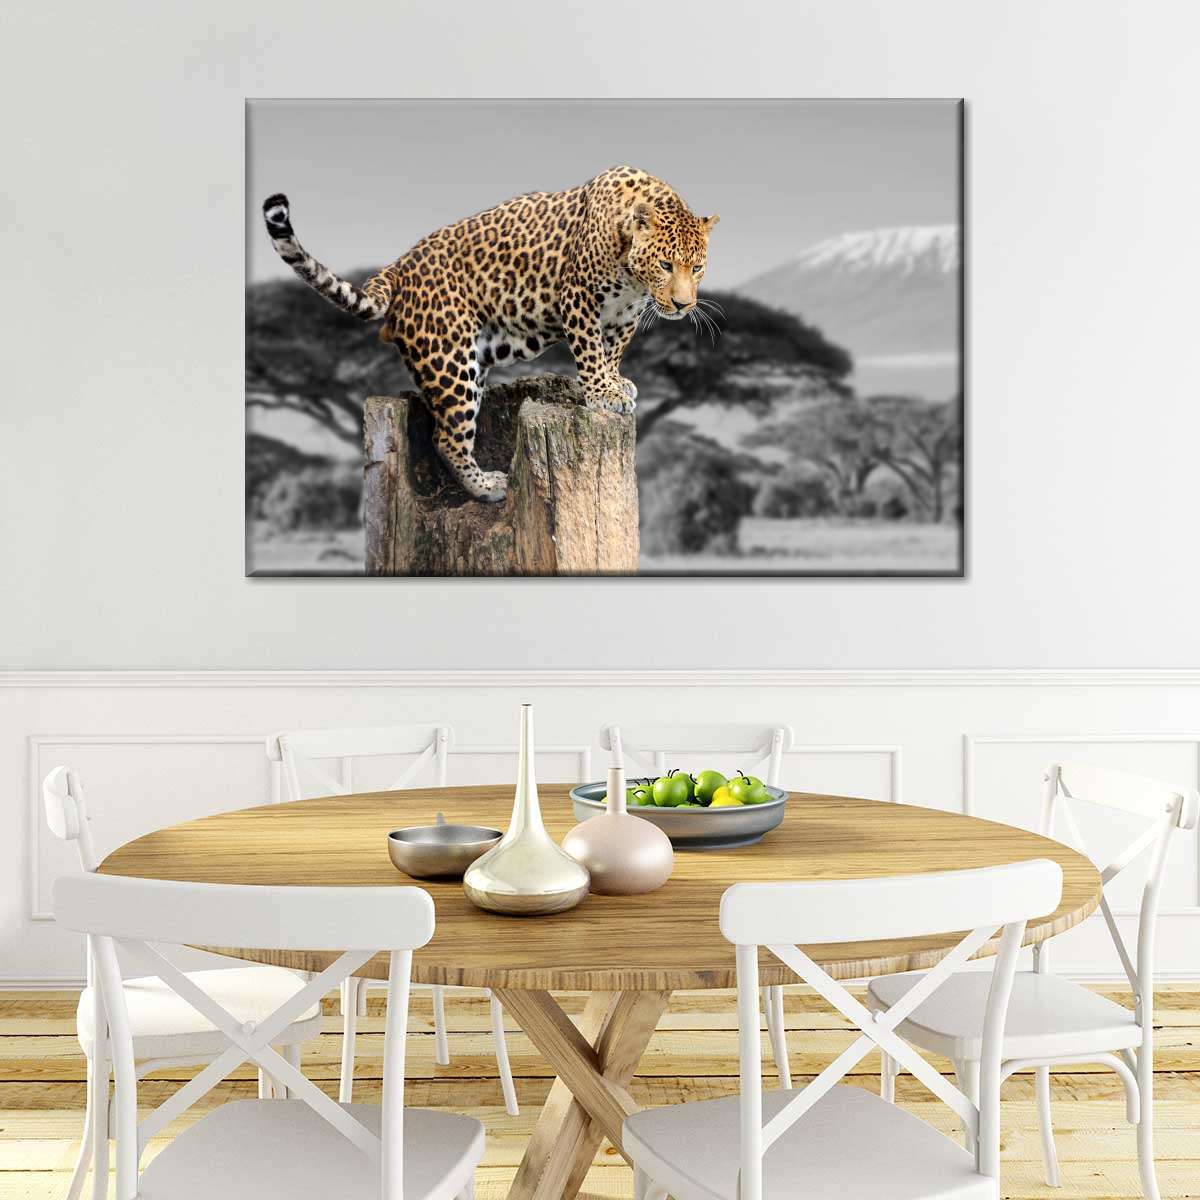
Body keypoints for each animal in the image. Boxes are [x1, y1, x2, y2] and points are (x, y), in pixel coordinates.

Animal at [261, 166, 718, 501]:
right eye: (666, 265)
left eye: (696, 267)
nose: (683, 305)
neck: (633, 276)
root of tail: (398, 267)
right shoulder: (578, 299)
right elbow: (590, 350)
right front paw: (603, 393)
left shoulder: (624, 316)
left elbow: (613, 351)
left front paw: (616, 383)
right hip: (450, 360)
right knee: (446, 436)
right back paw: (487, 488)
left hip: (473, 362)